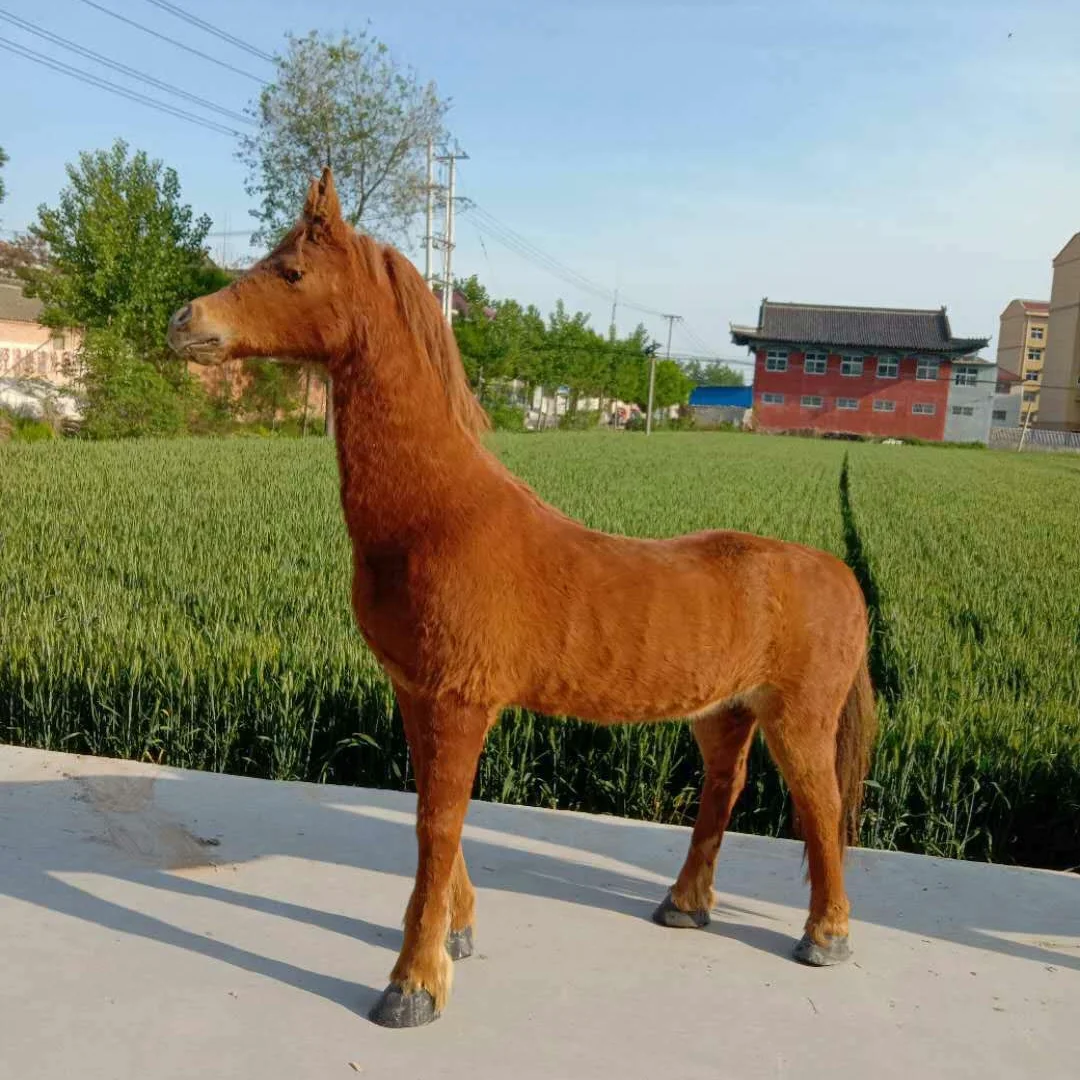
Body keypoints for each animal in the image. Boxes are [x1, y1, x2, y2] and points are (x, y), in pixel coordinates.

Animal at [167, 167, 877, 1029]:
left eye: (291, 272)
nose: (184, 322)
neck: (439, 516)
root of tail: (840, 572)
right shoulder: (417, 692)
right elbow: (436, 815)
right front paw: (456, 936)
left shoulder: (460, 699)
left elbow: (437, 825)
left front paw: (413, 985)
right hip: (723, 712)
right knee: (724, 788)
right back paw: (684, 906)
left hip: (799, 717)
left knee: (820, 806)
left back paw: (827, 936)